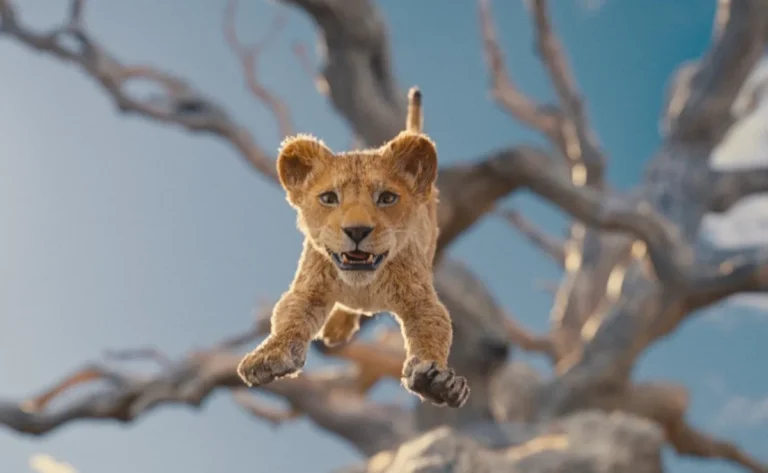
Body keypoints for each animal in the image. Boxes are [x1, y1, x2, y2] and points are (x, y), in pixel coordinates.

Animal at [237, 87, 469, 408]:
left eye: (386, 198)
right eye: (329, 198)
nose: (357, 230)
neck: (362, 284)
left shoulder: (420, 299)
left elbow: (433, 331)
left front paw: (437, 382)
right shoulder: (309, 289)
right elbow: (288, 318)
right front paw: (268, 356)